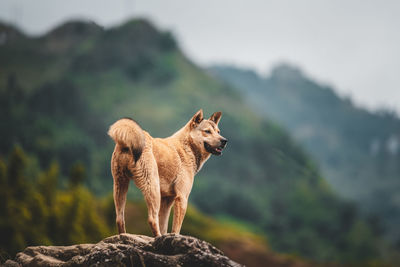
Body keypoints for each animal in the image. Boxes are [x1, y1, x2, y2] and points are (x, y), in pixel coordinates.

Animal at [108, 110, 227, 238]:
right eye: (207, 131)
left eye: (218, 132)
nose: (224, 141)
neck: (187, 147)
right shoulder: (182, 198)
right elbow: (176, 229)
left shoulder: (167, 200)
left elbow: (164, 226)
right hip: (153, 188)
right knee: (152, 219)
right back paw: (157, 237)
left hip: (120, 185)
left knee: (119, 219)